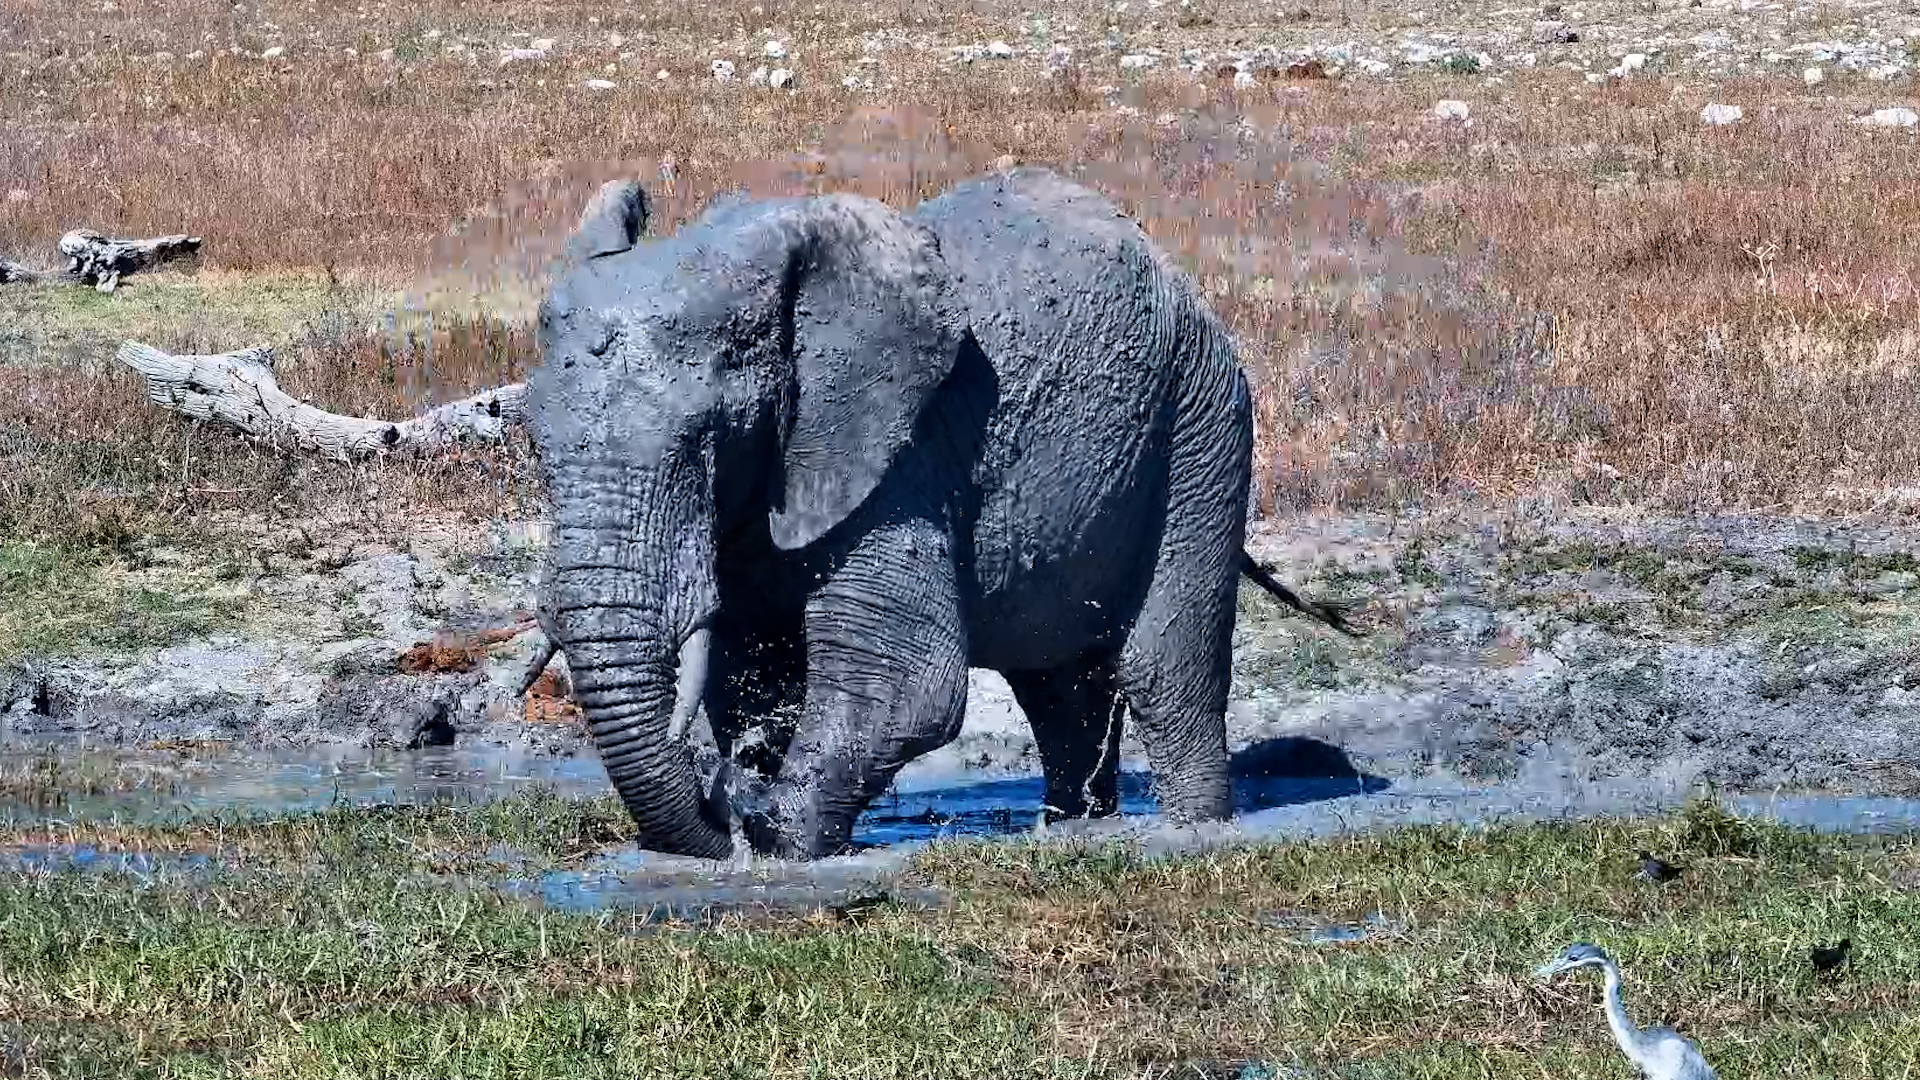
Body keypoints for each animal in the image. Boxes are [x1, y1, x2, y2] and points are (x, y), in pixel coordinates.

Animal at [523, 165, 1356, 861]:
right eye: (532, 439)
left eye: (705, 440)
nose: (717, 800)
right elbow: (749, 671)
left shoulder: (903, 455)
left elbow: (906, 680)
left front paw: (773, 832)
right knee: (1056, 683)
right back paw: (1077, 826)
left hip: (1202, 418)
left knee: (1161, 667)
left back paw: (1191, 832)